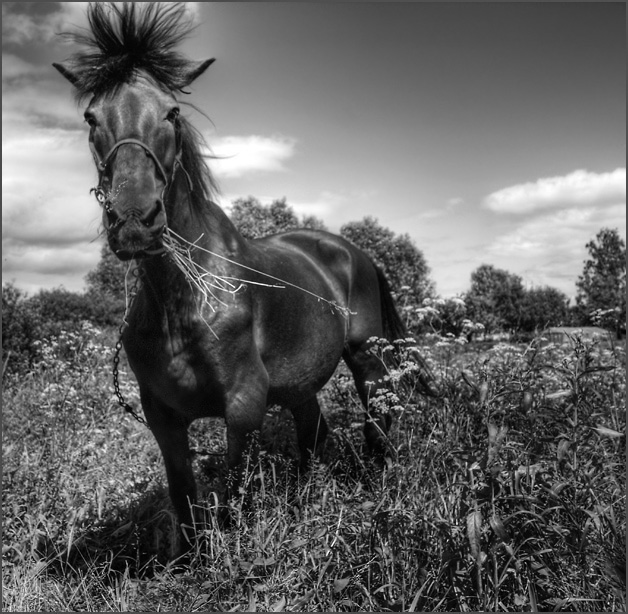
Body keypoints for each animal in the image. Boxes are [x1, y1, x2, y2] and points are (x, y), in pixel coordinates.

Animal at [54, 2, 432, 552]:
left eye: (172, 112)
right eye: (91, 117)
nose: (134, 221)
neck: (181, 302)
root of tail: (351, 249)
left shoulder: (244, 405)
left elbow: (233, 498)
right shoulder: (162, 416)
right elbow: (184, 498)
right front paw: (188, 561)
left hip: (367, 358)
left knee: (375, 425)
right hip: (301, 385)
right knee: (315, 437)